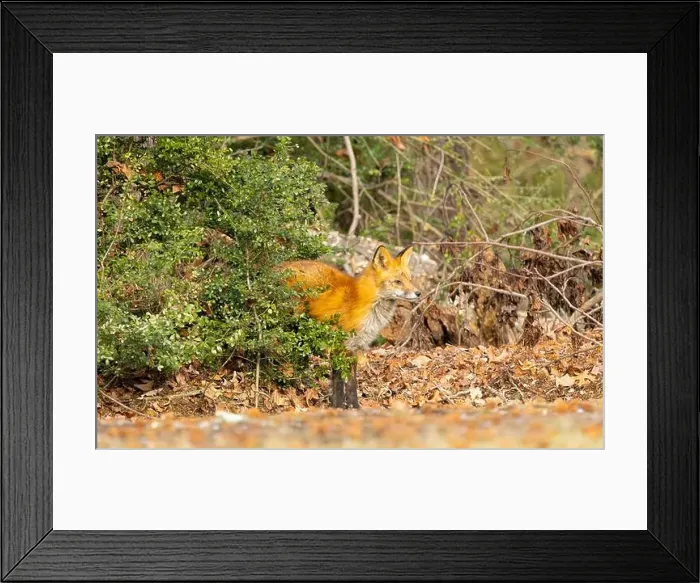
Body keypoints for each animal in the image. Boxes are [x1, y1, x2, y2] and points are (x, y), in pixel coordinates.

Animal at [279, 245, 421, 408]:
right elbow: (339, 382)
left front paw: (354, 407)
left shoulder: (355, 347)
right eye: (397, 281)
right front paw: (338, 406)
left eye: (409, 279)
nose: (418, 293)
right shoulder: (338, 345)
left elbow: (352, 383)